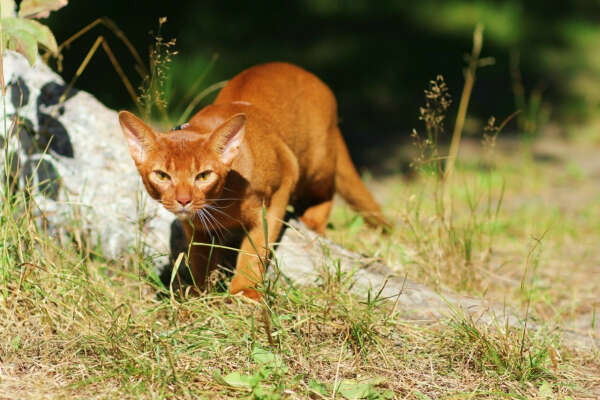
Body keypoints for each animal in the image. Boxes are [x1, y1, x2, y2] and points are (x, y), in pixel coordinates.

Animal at [117, 61, 390, 300]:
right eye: (162, 175)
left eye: (203, 175)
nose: (183, 200)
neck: (222, 202)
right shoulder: (195, 225)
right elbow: (199, 256)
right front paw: (198, 293)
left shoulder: (283, 180)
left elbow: (255, 248)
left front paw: (244, 291)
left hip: (316, 162)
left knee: (327, 188)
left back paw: (313, 220)